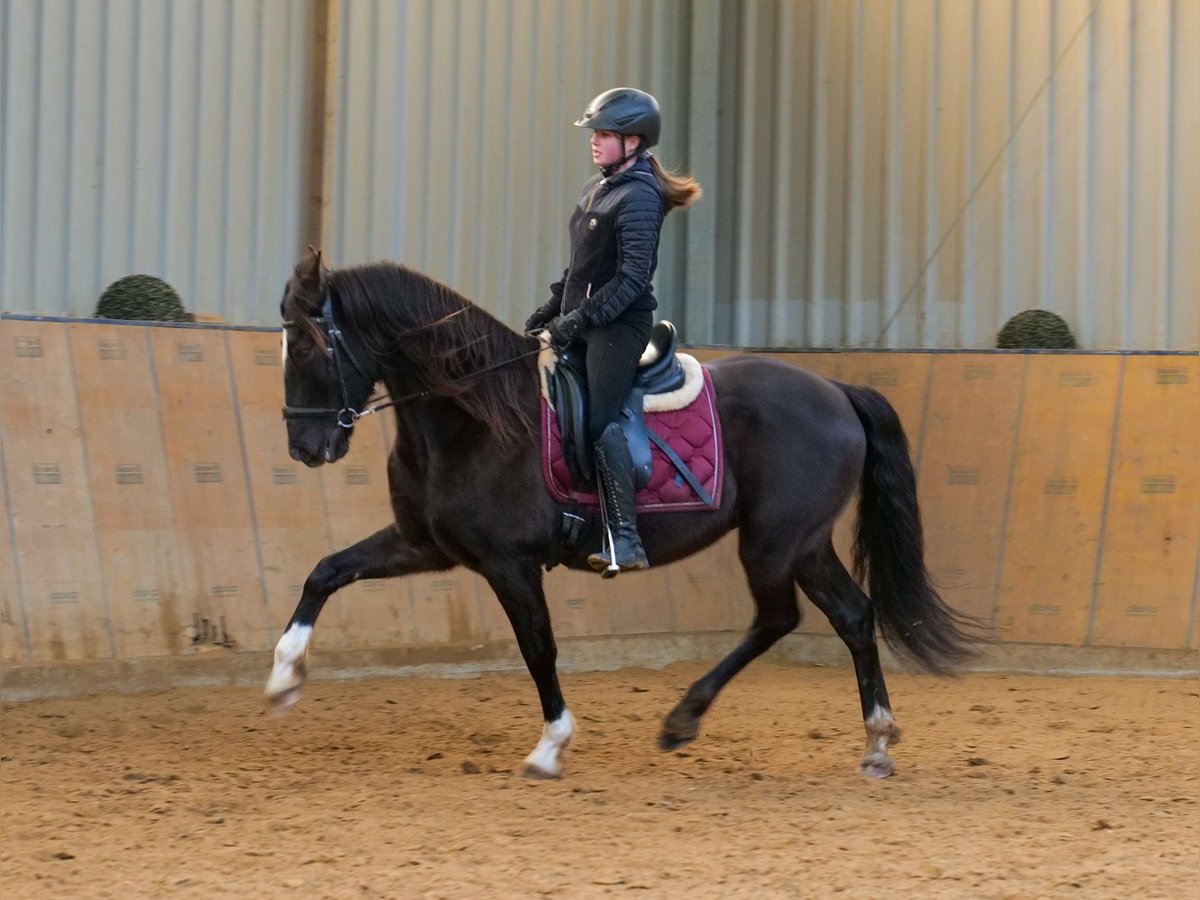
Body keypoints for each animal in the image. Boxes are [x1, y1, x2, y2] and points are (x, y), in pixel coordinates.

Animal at [265, 248, 974, 782]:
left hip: (773, 542)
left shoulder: (508, 564)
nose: (304, 449)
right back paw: (875, 742)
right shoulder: (426, 545)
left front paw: (551, 746)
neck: (475, 417)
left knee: (779, 617)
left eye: (305, 347)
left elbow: (539, 647)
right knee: (851, 615)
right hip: (804, 544)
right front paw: (283, 678)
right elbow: (325, 571)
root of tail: (836, 390)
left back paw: (683, 720)